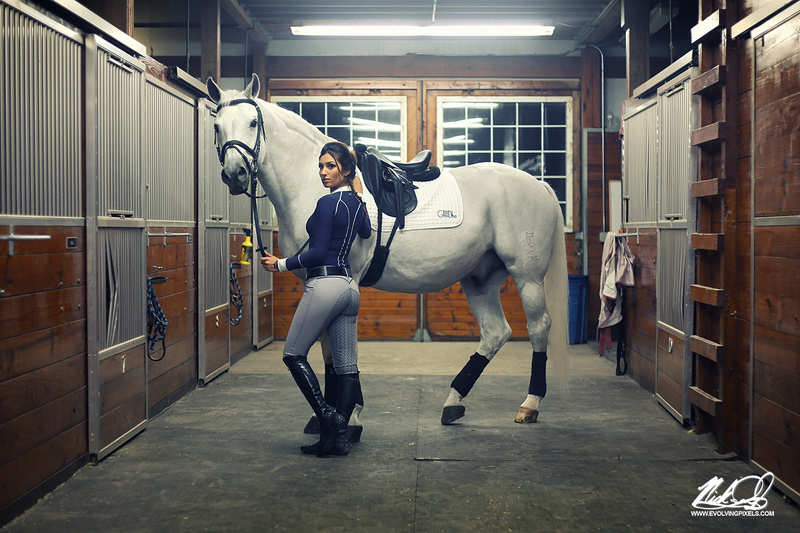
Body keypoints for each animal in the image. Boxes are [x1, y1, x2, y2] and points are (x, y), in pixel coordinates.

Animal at [209, 74, 564, 424]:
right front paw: (332, 412)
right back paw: (453, 402)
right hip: (479, 279)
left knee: (538, 328)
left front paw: (351, 412)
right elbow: (327, 348)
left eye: (254, 122)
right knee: (495, 332)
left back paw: (530, 404)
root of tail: (539, 185)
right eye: (216, 125)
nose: (235, 174)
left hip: (527, 277)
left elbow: (341, 346)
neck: (316, 190)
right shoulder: (316, 279)